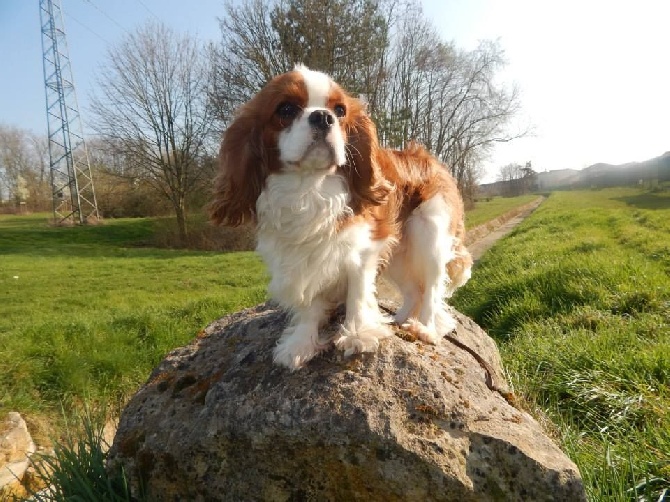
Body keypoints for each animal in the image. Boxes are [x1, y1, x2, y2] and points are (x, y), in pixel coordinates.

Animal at [210, 64, 472, 370]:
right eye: (286, 109)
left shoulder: (363, 247)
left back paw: (425, 329)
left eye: (340, 110)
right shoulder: (300, 254)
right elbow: (310, 303)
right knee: (413, 291)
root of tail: (432, 161)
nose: (323, 117)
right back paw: (400, 320)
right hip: (399, 251)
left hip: (428, 233)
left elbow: (358, 292)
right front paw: (301, 342)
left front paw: (358, 333)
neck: (308, 186)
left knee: (430, 290)